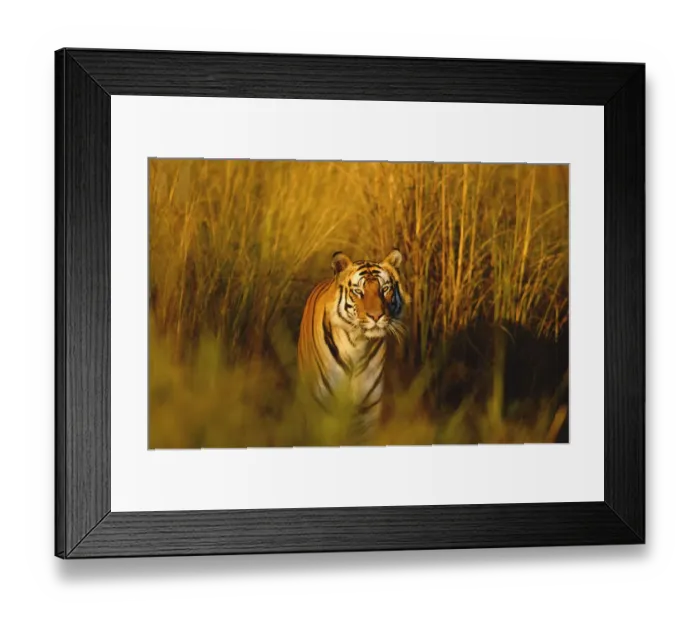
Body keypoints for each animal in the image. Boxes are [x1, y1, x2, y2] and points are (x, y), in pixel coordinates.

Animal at [297, 249, 409, 439]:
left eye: (385, 289)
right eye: (358, 291)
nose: (376, 316)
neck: (357, 345)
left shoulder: (368, 411)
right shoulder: (322, 409)